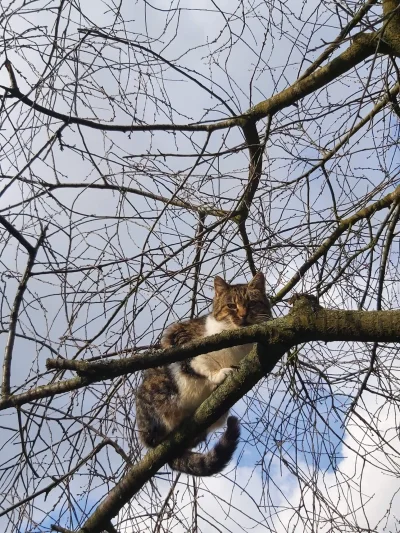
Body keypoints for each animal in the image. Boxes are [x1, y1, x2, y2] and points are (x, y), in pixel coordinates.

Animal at [135, 272, 272, 476]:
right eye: (231, 305)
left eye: (252, 303)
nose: (242, 315)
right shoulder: (180, 338)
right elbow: (200, 364)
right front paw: (220, 374)